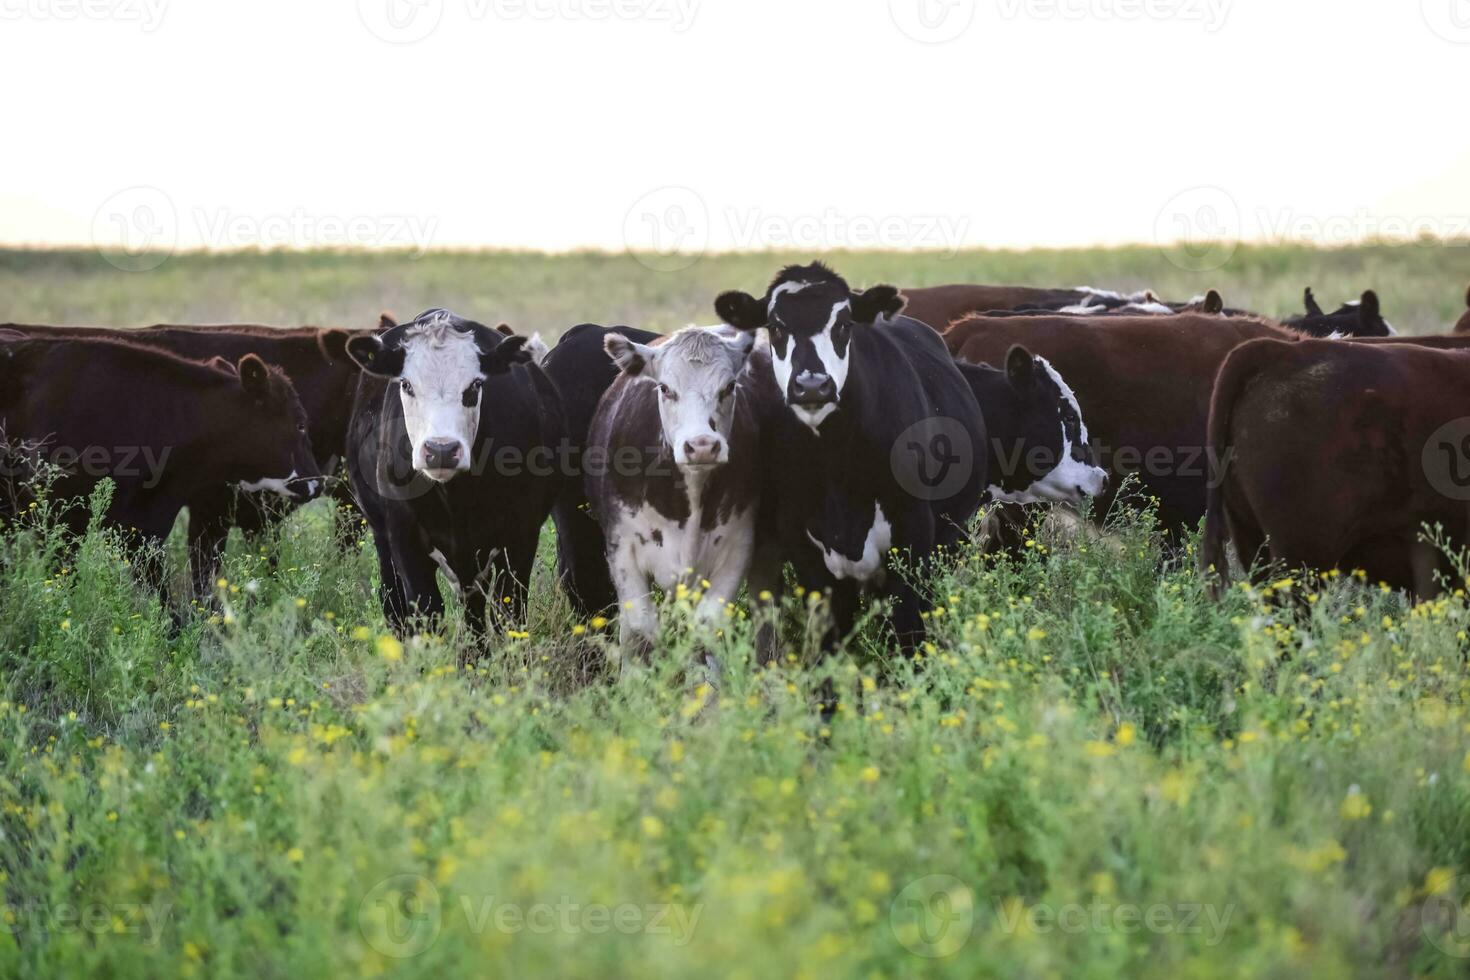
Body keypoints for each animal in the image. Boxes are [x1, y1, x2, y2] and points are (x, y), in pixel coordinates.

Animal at [345, 307, 567, 643]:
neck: (456, 498)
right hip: (382, 534)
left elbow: (510, 614)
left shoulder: (521, 534)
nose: (441, 449)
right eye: (406, 384)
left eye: (475, 385)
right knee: (393, 601)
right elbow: (426, 612)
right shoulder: (404, 536)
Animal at [714, 264, 987, 655]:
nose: (812, 386)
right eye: (776, 326)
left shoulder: (913, 538)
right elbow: (830, 639)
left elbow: (907, 629)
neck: (836, 463)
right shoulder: (806, 550)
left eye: (843, 324)